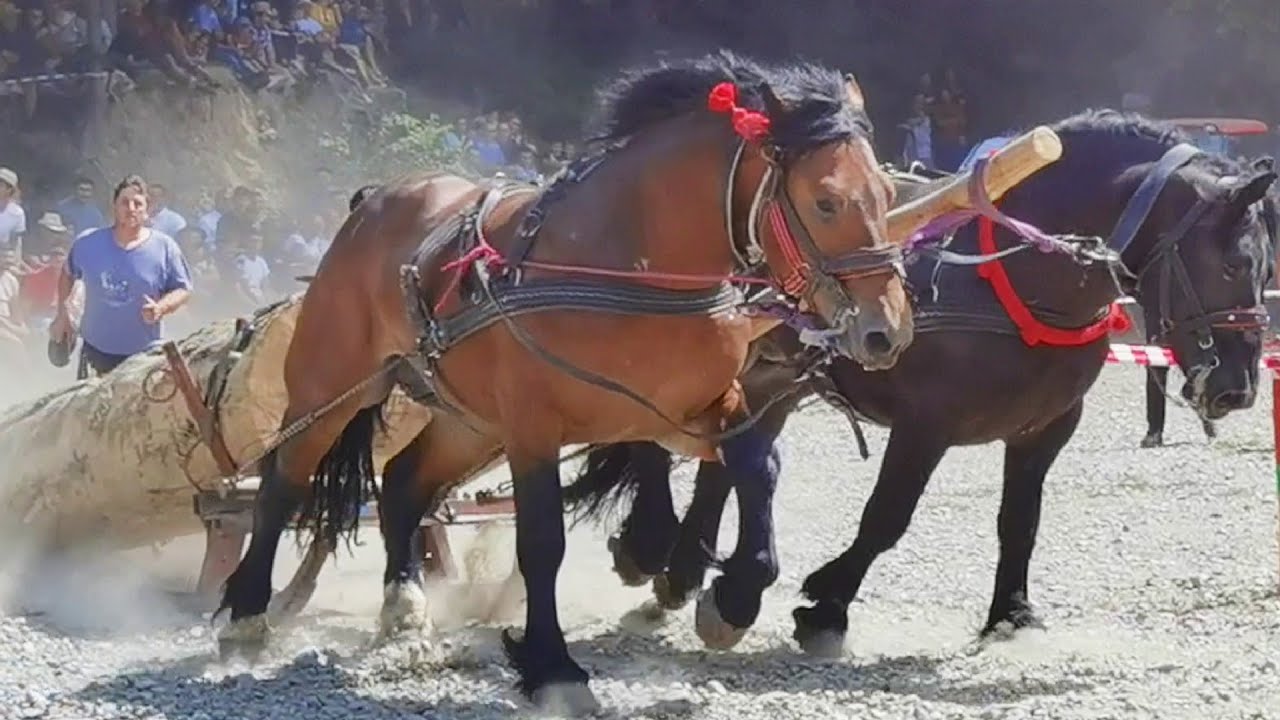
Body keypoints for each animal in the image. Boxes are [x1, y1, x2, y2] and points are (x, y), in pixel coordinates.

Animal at [213, 50, 939, 715]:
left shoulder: (702, 405)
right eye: (825, 201)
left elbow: (756, 469)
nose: (886, 330)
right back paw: (246, 614)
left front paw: (731, 597)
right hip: (336, 384)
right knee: (285, 480)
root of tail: (378, 198)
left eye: (885, 195)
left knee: (402, 485)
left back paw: (404, 605)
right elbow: (543, 542)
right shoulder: (534, 427)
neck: (627, 259)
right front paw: (552, 666)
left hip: (468, 421)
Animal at [564, 109, 1278, 657]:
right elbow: (887, 518)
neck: (1006, 281)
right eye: (1231, 262)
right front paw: (826, 606)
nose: (1237, 386)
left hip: (775, 378)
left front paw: (1010, 614)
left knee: (724, 464)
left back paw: (685, 571)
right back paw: (653, 546)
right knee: (661, 445)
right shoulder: (924, 426)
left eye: (1262, 266)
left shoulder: (1045, 430)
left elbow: (1020, 522)